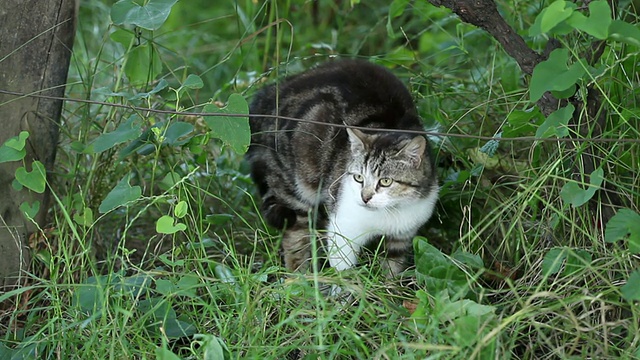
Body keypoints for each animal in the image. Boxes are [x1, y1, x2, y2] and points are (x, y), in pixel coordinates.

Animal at [245, 59, 440, 276]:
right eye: (358, 178)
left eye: (386, 181)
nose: (365, 197)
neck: (392, 212)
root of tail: (272, 91)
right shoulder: (343, 231)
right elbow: (343, 270)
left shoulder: (402, 237)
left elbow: (392, 269)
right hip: (292, 187)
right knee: (295, 235)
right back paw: (299, 276)